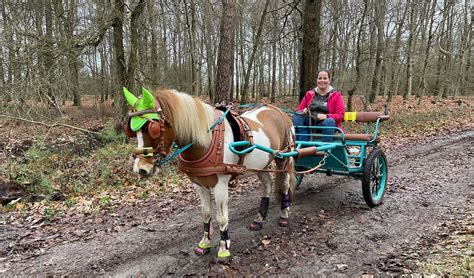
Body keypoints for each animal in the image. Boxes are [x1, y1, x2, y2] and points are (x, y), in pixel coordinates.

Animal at [122, 88, 292, 262]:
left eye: (153, 128)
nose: (140, 169)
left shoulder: (220, 185)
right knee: (267, 184)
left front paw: (224, 250)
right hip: (260, 165)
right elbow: (206, 213)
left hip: (284, 158)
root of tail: (277, 111)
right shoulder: (199, 184)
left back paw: (285, 216)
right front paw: (204, 244)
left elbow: (222, 217)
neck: (206, 140)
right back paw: (259, 220)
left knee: (285, 184)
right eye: (131, 130)